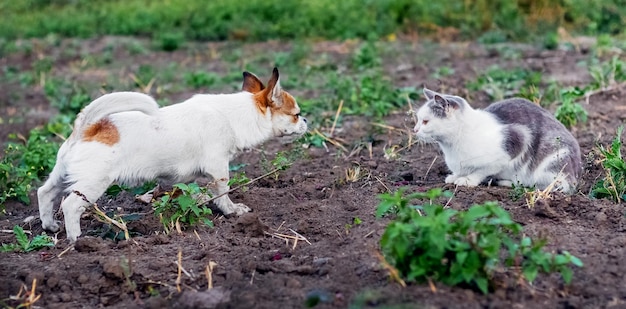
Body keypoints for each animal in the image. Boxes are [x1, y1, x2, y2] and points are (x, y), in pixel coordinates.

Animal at [37, 67, 306, 241]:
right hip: (93, 184)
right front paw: (232, 210)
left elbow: (190, 191)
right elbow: (223, 192)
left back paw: (50, 225)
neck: (237, 115)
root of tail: (89, 127)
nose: (306, 121)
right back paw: (77, 239)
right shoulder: (219, 167)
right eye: (296, 114)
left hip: (62, 174)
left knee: (45, 192)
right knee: (70, 205)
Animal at [414, 87, 580, 192]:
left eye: (425, 121)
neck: (451, 147)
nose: (415, 130)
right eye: (418, 119)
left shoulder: (515, 142)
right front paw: (455, 176)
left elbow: (480, 171)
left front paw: (467, 180)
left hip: (552, 165)